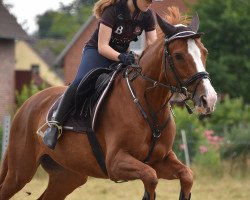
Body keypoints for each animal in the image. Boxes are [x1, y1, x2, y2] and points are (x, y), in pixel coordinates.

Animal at [0, 7, 216, 200]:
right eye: (178, 56)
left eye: (204, 52)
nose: (209, 98)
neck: (148, 106)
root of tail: (27, 104)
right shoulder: (116, 163)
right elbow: (151, 177)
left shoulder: (161, 160)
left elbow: (186, 175)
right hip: (20, 171)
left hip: (68, 175)